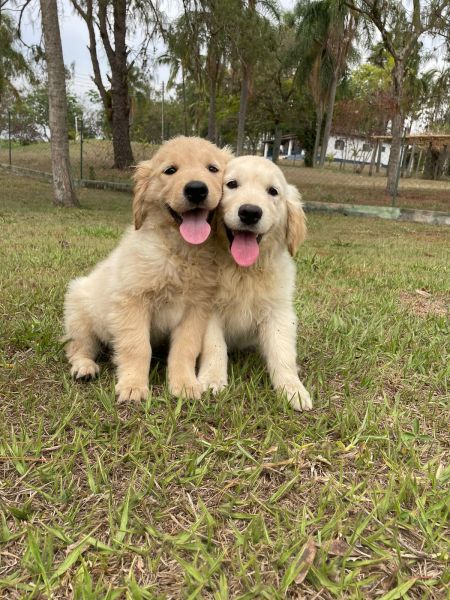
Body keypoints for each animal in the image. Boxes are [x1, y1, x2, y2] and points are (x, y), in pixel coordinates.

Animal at [64, 136, 232, 404]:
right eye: (170, 170)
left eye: (213, 169)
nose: (196, 189)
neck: (178, 252)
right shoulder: (132, 302)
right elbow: (137, 347)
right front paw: (133, 386)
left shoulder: (196, 309)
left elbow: (185, 349)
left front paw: (184, 384)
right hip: (80, 317)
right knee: (77, 347)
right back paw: (84, 367)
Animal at [199, 155, 312, 410]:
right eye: (231, 184)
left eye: (273, 191)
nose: (250, 212)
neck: (243, 270)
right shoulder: (207, 309)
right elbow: (214, 347)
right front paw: (212, 380)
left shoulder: (278, 312)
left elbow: (282, 352)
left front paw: (292, 388)